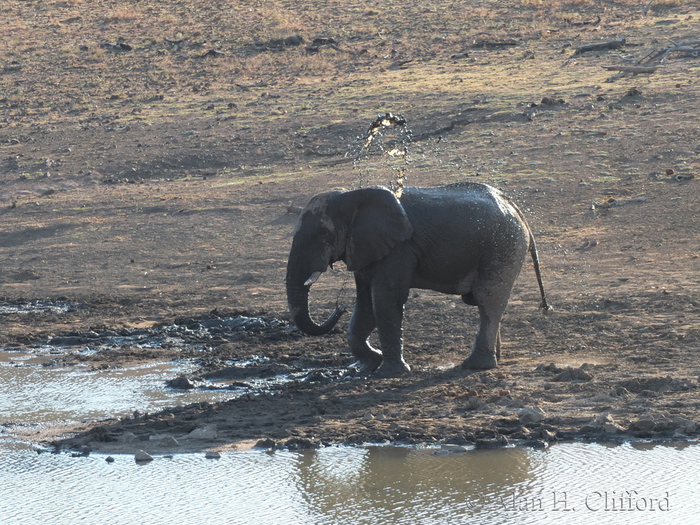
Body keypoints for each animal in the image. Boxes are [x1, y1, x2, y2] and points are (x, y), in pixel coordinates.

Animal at [285, 181, 550, 378]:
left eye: (323, 233)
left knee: (488, 299)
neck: (353, 195)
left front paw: (389, 372)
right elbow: (365, 304)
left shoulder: (400, 248)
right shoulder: (367, 248)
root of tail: (515, 207)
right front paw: (369, 364)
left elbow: (385, 300)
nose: (339, 308)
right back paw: (496, 359)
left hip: (504, 245)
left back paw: (475, 366)